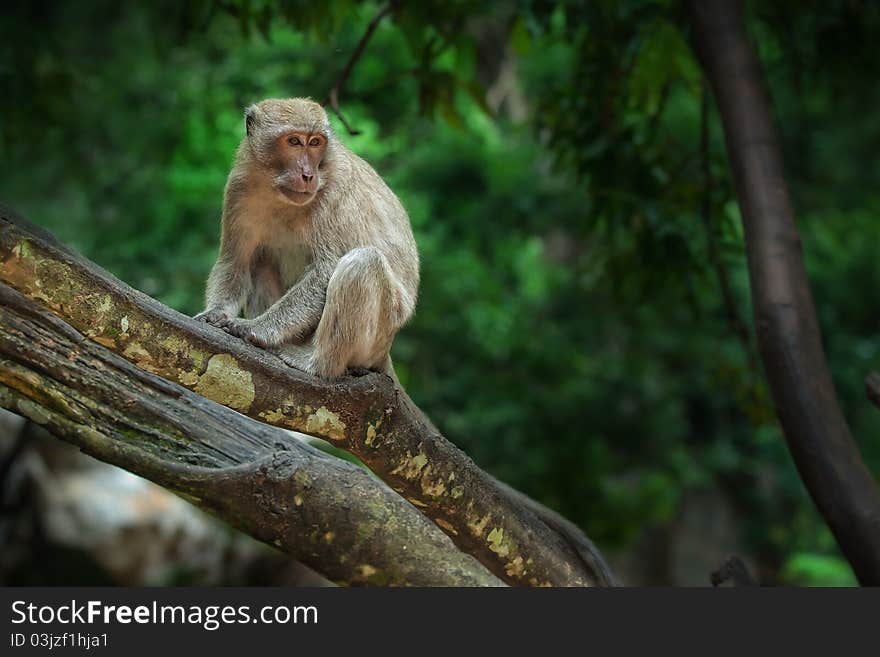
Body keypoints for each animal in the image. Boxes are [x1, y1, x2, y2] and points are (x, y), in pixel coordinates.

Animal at [195, 95, 420, 376]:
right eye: (294, 141)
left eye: (315, 143)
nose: (308, 175)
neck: (277, 191)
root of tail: (385, 354)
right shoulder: (239, 187)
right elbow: (236, 261)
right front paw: (215, 313)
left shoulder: (335, 190)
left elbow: (325, 271)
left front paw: (255, 328)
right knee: (261, 261)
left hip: (381, 333)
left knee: (363, 262)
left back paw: (316, 363)